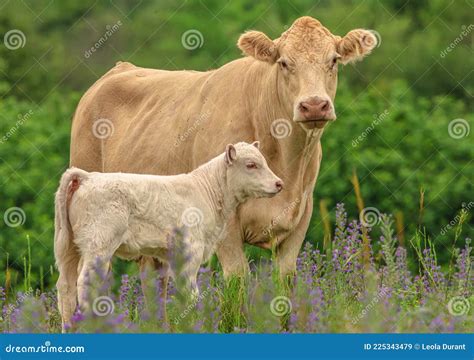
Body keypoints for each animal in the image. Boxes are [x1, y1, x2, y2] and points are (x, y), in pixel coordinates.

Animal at [69, 16, 378, 282]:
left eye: (334, 60)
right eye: (283, 62)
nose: (314, 105)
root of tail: (120, 68)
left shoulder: (300, 216)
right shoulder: (226, 227)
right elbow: (237, 282)